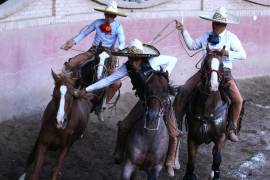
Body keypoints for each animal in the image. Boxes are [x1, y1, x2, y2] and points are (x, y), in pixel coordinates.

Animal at [176, 47, 239, 180]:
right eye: (205, 63)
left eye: (221, 65)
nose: (213, 85)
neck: (207, 109)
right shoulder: (192, 137)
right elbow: (191, 161)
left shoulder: (221, 137)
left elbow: (217, 159)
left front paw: (216, 174)